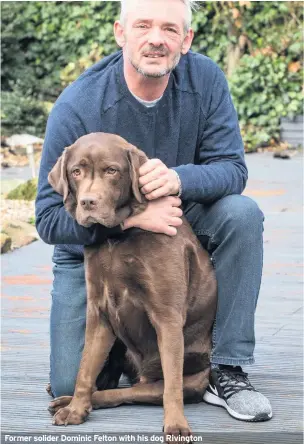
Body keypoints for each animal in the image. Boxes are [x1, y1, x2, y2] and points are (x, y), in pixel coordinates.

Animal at [47, 132, 216, 438]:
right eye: (76, 172)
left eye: (112, 171)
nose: (88, 202)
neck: (118, 237)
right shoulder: (98, 313)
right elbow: (84, 369)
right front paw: (76, 409)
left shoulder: (167, 316)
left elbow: (172, 385)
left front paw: (176, 424)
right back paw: (68, 400)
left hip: (183, 376)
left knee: (134, 391)